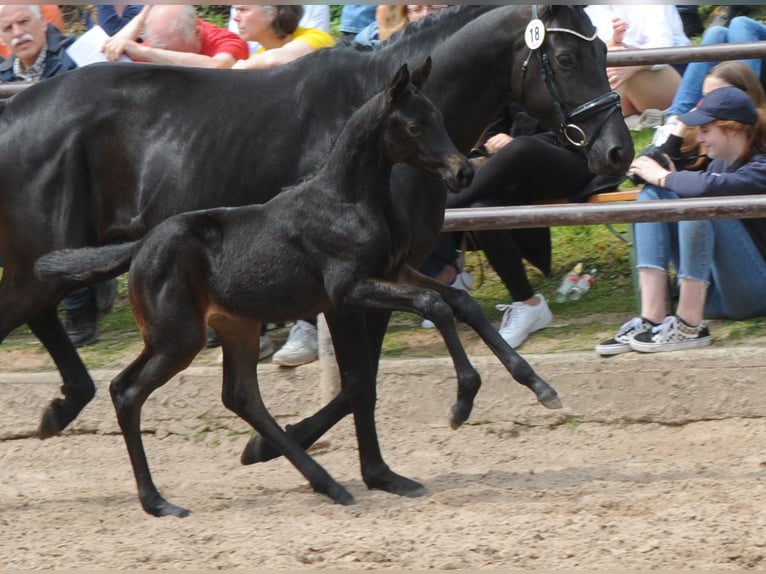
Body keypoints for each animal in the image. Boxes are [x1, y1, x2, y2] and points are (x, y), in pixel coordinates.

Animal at [0, 5, 632, 496]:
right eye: (567, 59)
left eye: (604, 47)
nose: (617, 152)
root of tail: (13, 113)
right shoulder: (348, 290)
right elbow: (358, 380)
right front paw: (349, 465)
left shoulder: (392, 271)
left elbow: (418, 335)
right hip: (45, 261)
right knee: (32, 315)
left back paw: (63, 407)